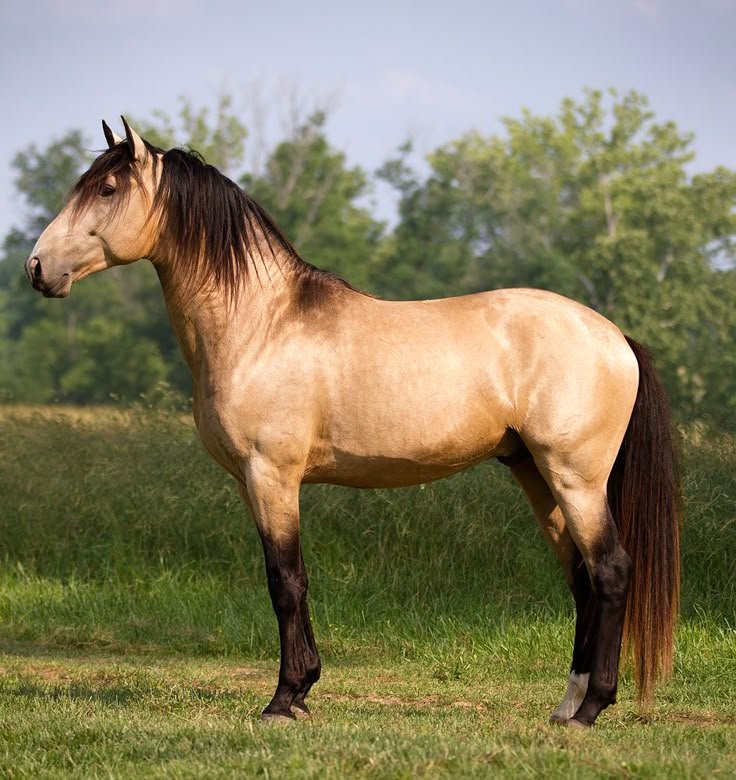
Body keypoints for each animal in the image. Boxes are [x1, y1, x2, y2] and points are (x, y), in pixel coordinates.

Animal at [25, 118, 680, 727]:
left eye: (108, 188)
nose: (36, 267)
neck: (262, 324)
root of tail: (616, 337)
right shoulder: (248, 483)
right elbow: (286, 579)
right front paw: (302, 690)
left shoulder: (272, 476)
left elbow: (286, 581)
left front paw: (286, 698)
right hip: (536, 475)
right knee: (583, 578)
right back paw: (566, 706)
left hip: (575, 478)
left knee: (611, 572)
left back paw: (593, 707)